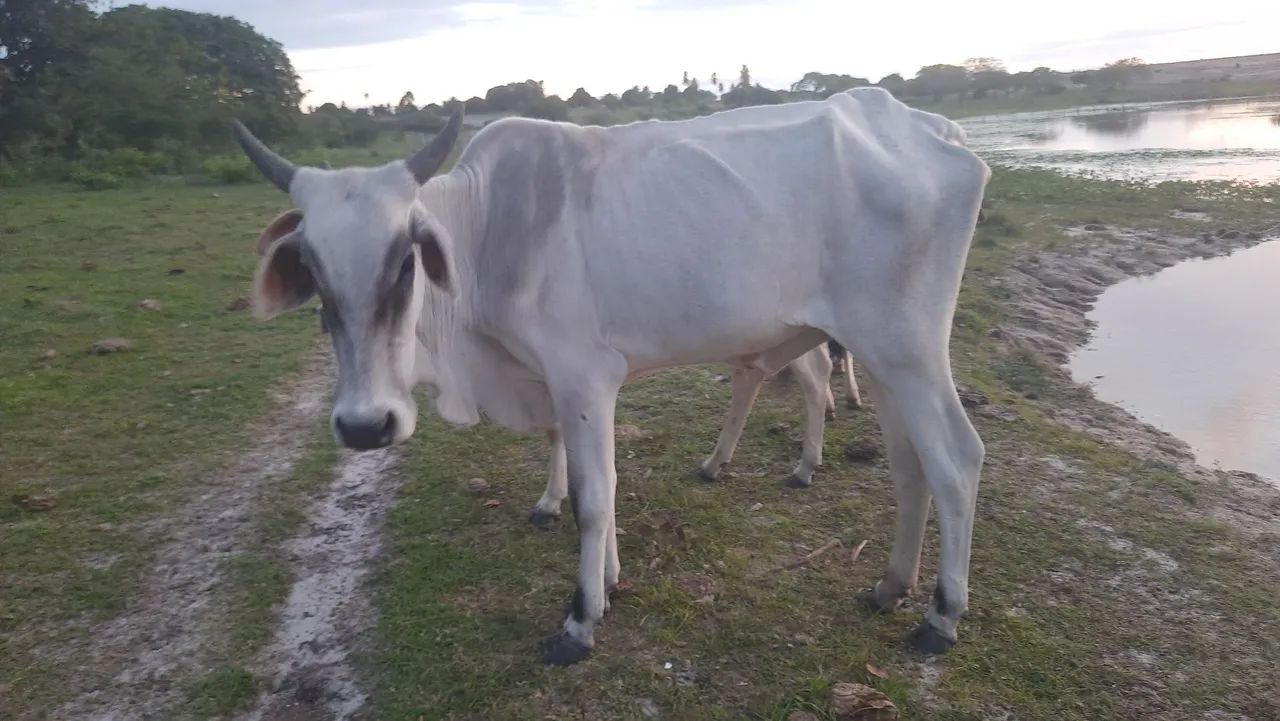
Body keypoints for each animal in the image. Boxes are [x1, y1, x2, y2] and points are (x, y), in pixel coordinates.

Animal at [232, 86, 989, 665]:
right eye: (314, 273)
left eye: (405, 261)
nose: (365, 425)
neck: (491, 229)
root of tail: (930, 127)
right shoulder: (566, 387)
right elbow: (593, 481)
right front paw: (613, 577)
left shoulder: (581, 377)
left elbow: (594, 498)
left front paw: (581, 618)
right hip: (882, 358)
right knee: (908, 465)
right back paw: (889, 586)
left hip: (910, 351)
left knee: (956, 460)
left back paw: (940, 615)